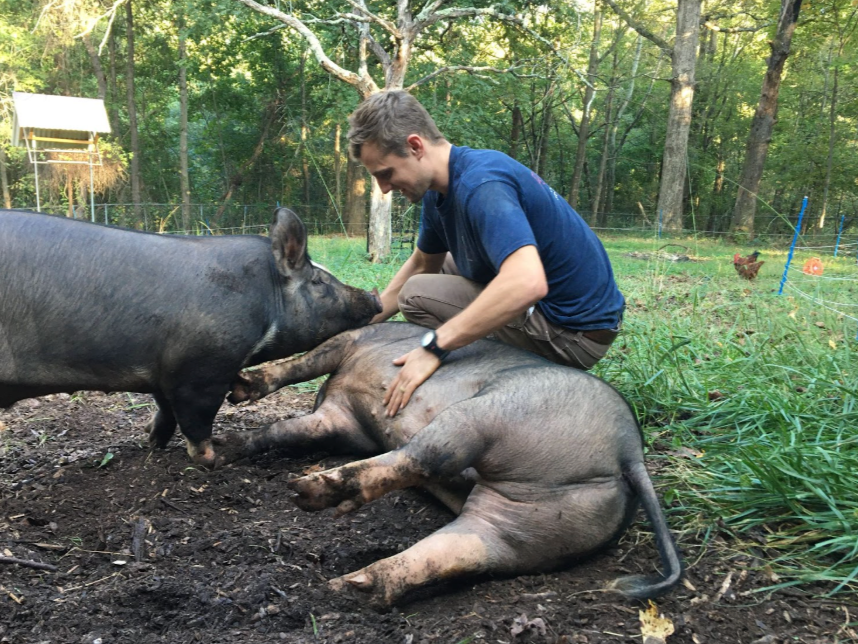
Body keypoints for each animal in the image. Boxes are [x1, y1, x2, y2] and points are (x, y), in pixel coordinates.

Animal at [0, 208, 381, 466]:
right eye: (318, 281)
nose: (373, 296)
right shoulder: (203, 366)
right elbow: (196, 415)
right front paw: (210, 458)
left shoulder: (164, 369)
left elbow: (165, 408)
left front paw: (152, 443)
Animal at [225, 322, 683, 607]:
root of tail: (629, 451)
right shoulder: (341, 418)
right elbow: (282, 432)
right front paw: (219, 449)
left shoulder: (358, 339)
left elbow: (303, 362)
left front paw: (240, 388)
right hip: (534, 520)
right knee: (464, 548)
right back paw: (349, 585)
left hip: (497, 410)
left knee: (428, 455)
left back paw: (309, 491)